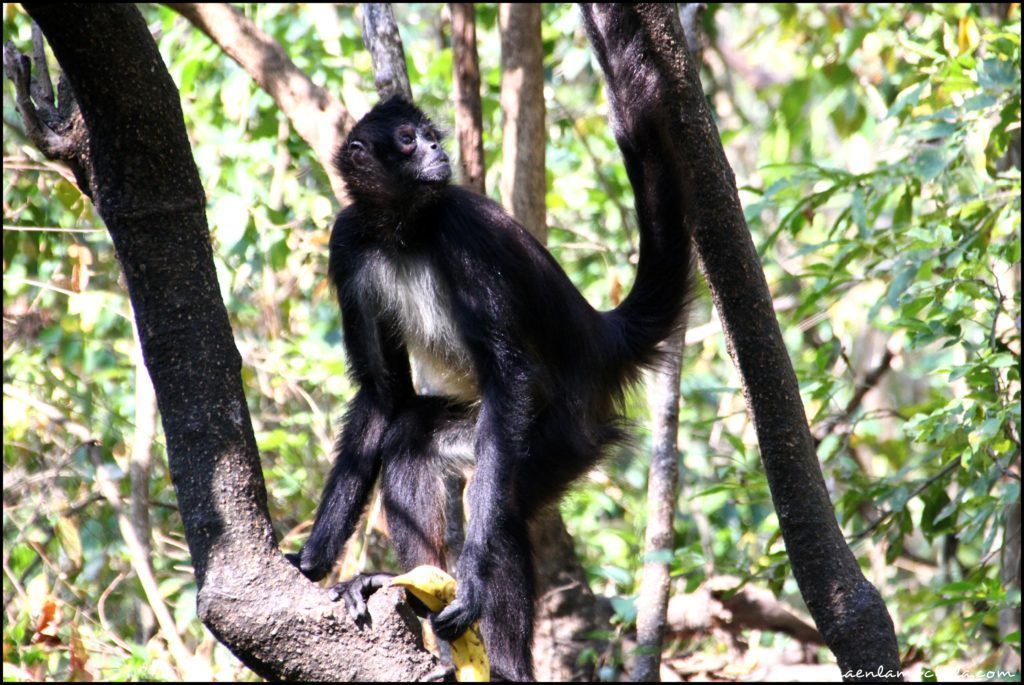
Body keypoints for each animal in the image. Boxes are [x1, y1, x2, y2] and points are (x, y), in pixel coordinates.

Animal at [292, 6, 692, 679]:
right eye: (408, 139)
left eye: (430, 135)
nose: (435, 148)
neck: (403, 230)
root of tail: (595, 334)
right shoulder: (348, 243)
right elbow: (382, 395)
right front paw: (314, 560)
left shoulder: (462, 238)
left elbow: (509, 378)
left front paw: (473, 584)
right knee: (410, 438)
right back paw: (406, 588)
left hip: (566, 430)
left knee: (502, 505)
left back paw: (500, 659)